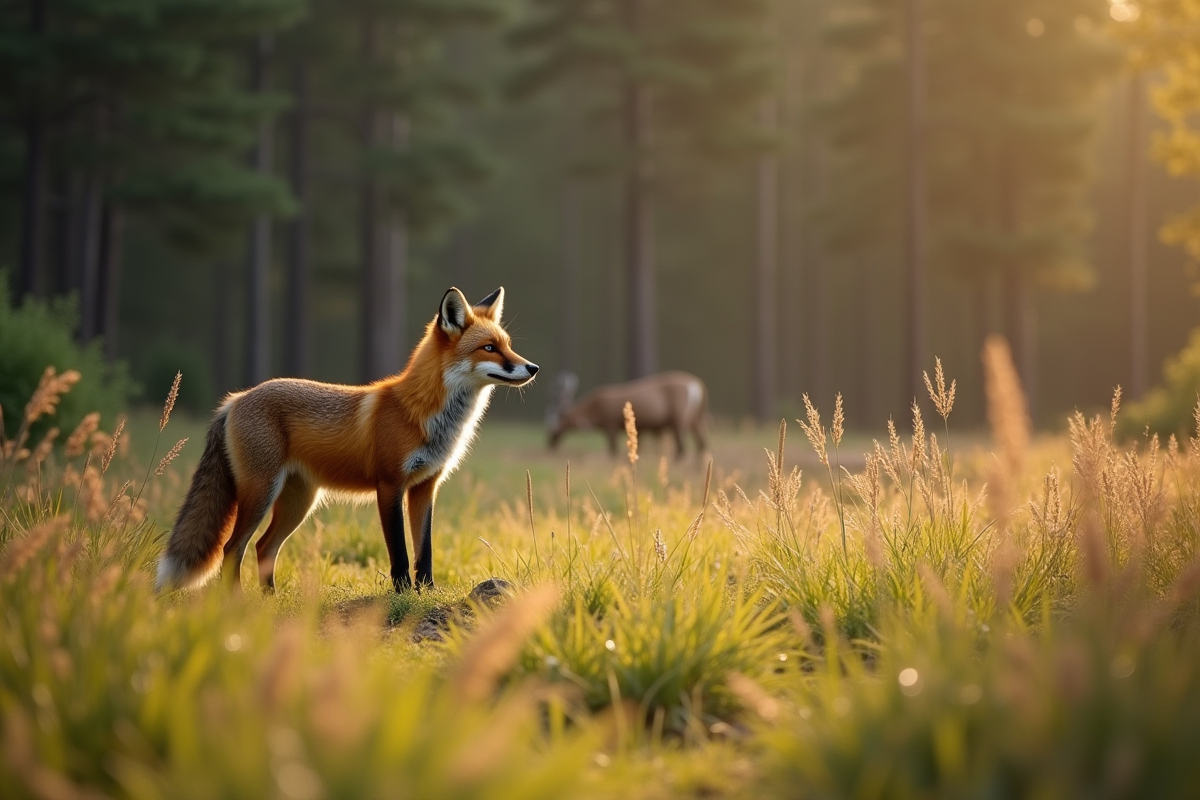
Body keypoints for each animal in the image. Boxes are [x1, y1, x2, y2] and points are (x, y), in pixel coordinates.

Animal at [155, 287, 538, 594]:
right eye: (489, 348)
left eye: (508, 346)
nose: (533, 367)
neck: (422, 415)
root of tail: (235, 399)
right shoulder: (390, 485)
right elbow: (400, 552)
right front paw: (402, 595)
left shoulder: (425, 486)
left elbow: (424, 551)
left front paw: (427, 592)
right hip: (261, 493)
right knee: (233, 548)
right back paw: (235, 602)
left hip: (298, 501)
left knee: (265, 547)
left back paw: (270, 601)